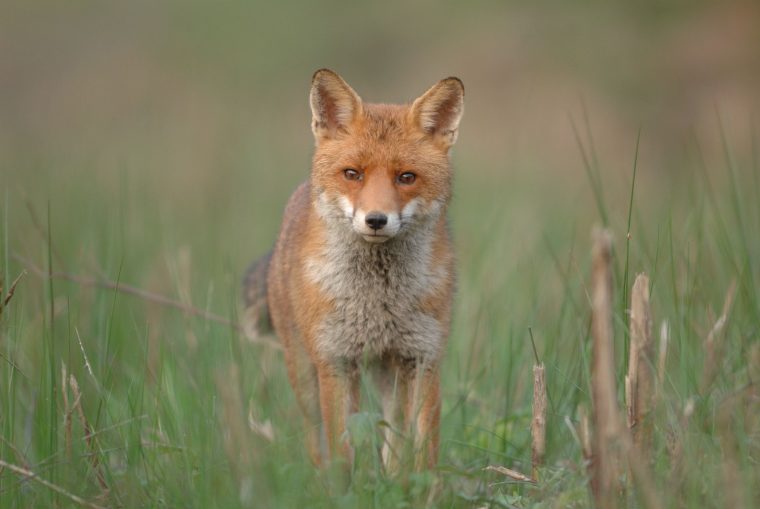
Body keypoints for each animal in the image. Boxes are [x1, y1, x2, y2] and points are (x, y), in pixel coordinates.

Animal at [245, 69, 464, 470]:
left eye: (406, 177)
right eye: (353, 173)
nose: (376, 220)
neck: (378, 302)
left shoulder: (423, 357)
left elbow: (424, 450)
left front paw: (423, 486)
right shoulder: (336, 361)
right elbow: (341, 451)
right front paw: (344, 483)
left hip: (388, 373)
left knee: (394, 435)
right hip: (306, 374)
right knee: (317, 441)